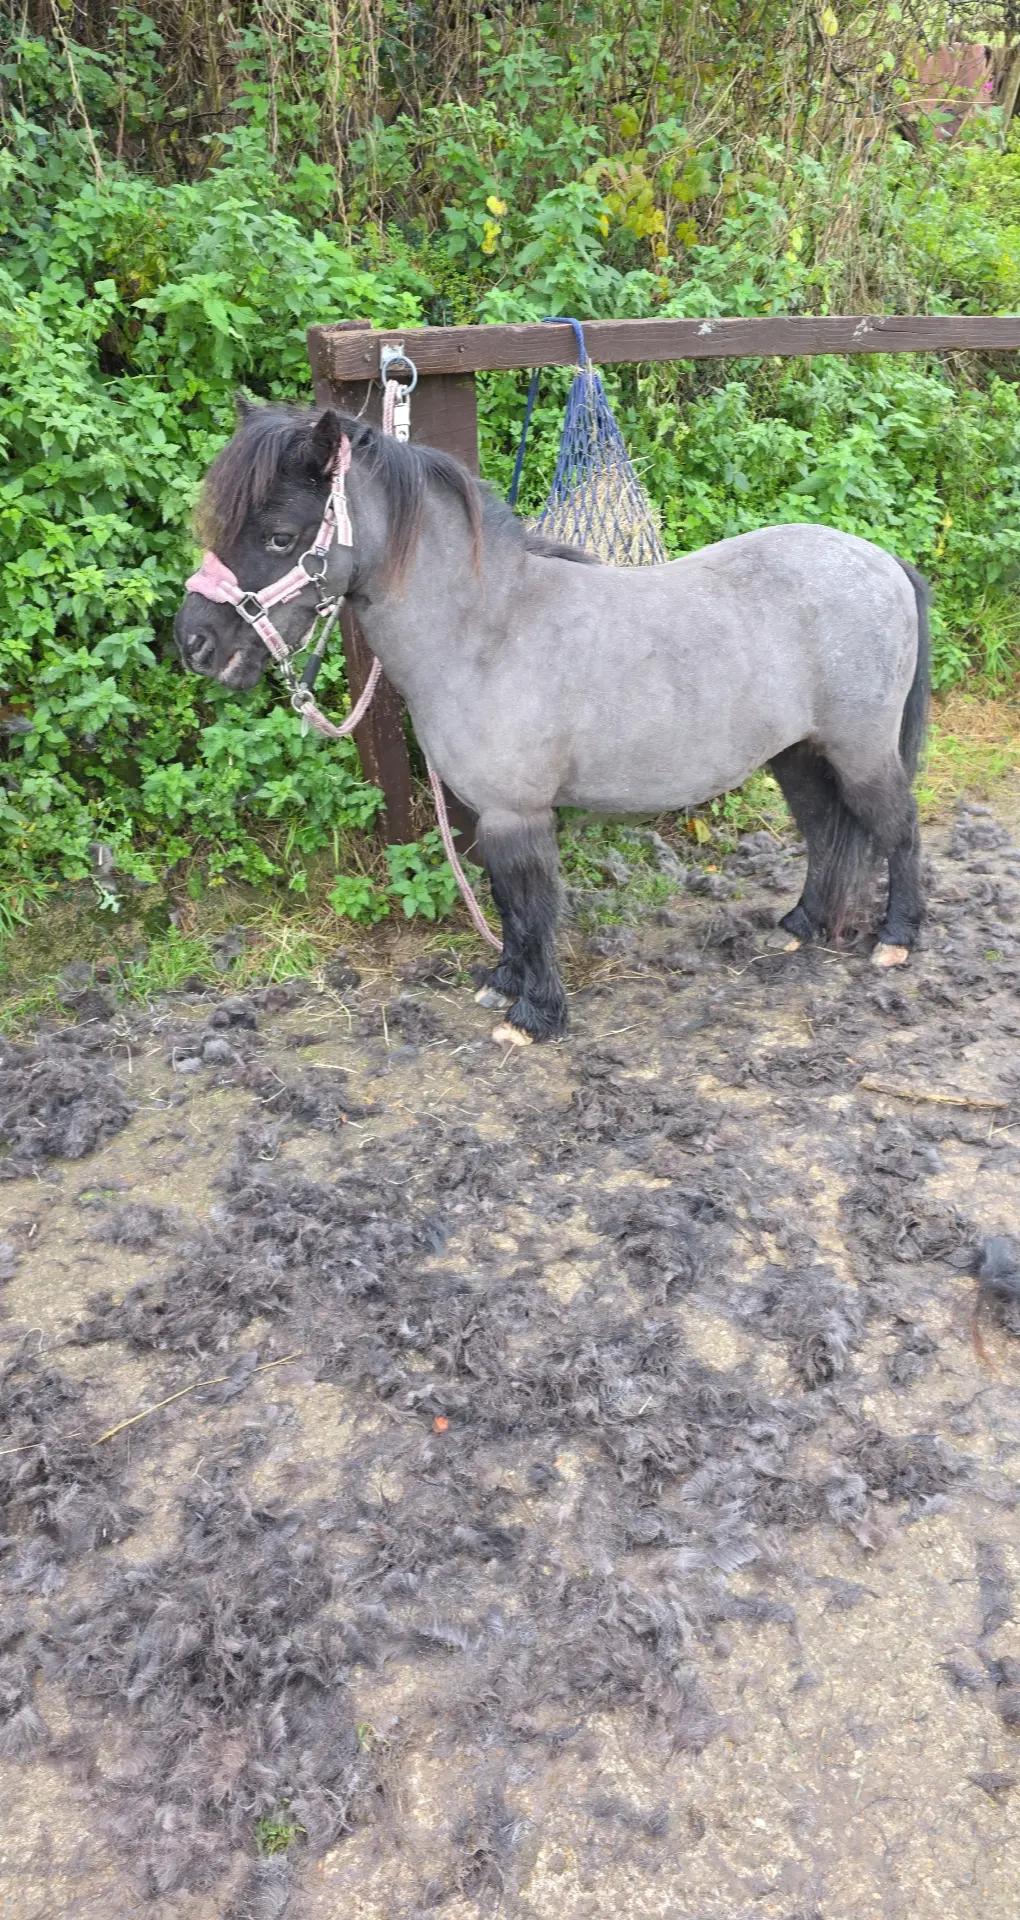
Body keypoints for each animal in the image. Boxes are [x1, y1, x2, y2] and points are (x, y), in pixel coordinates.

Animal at [174, 399, 930, 1046]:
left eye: (280, 535)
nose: (194, 643)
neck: (488, 629)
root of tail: (883, 561)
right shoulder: (490, 814)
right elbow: (506, 905)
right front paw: (502, 983)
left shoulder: (519, 813)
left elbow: (533, 909)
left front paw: (534, 1014)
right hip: (797, 755)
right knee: (827, 833)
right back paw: (801, 925)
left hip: (860, 753)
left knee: (897, 828)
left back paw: (896, 939)